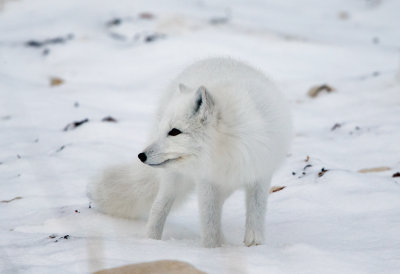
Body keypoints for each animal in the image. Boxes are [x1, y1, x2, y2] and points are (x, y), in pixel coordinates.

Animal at [89, 56, 292, 247]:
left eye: (174, 132)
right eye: (164, 130)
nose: (141, 156)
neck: (229, 148)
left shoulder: (260, 173)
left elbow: (255, 213)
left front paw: (254, 244)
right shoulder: (207, 181)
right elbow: (209, 222)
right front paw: (212, 250)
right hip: (173, 179)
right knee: (159, 207)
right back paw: (151, 242)